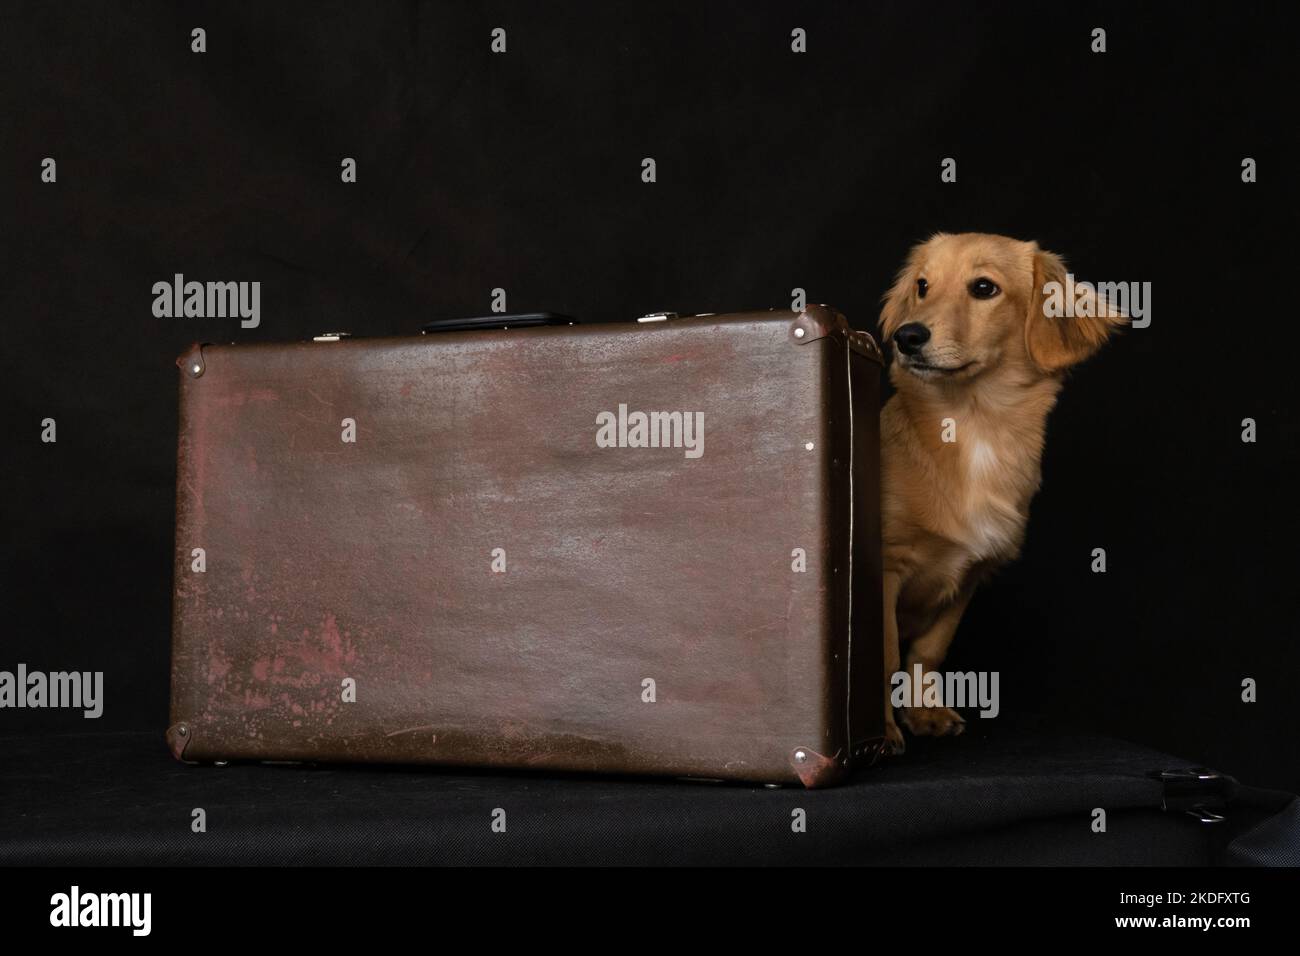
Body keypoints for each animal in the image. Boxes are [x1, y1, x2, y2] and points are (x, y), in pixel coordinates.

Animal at [878, 227, 1123, 749]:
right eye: (923, 286)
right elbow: (884, 653)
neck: (973, 425)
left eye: (984, 288)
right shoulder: (885, 566)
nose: (907, 336)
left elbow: (928, 651)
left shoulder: (971, 573)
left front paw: (923, 711)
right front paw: (882, 733)